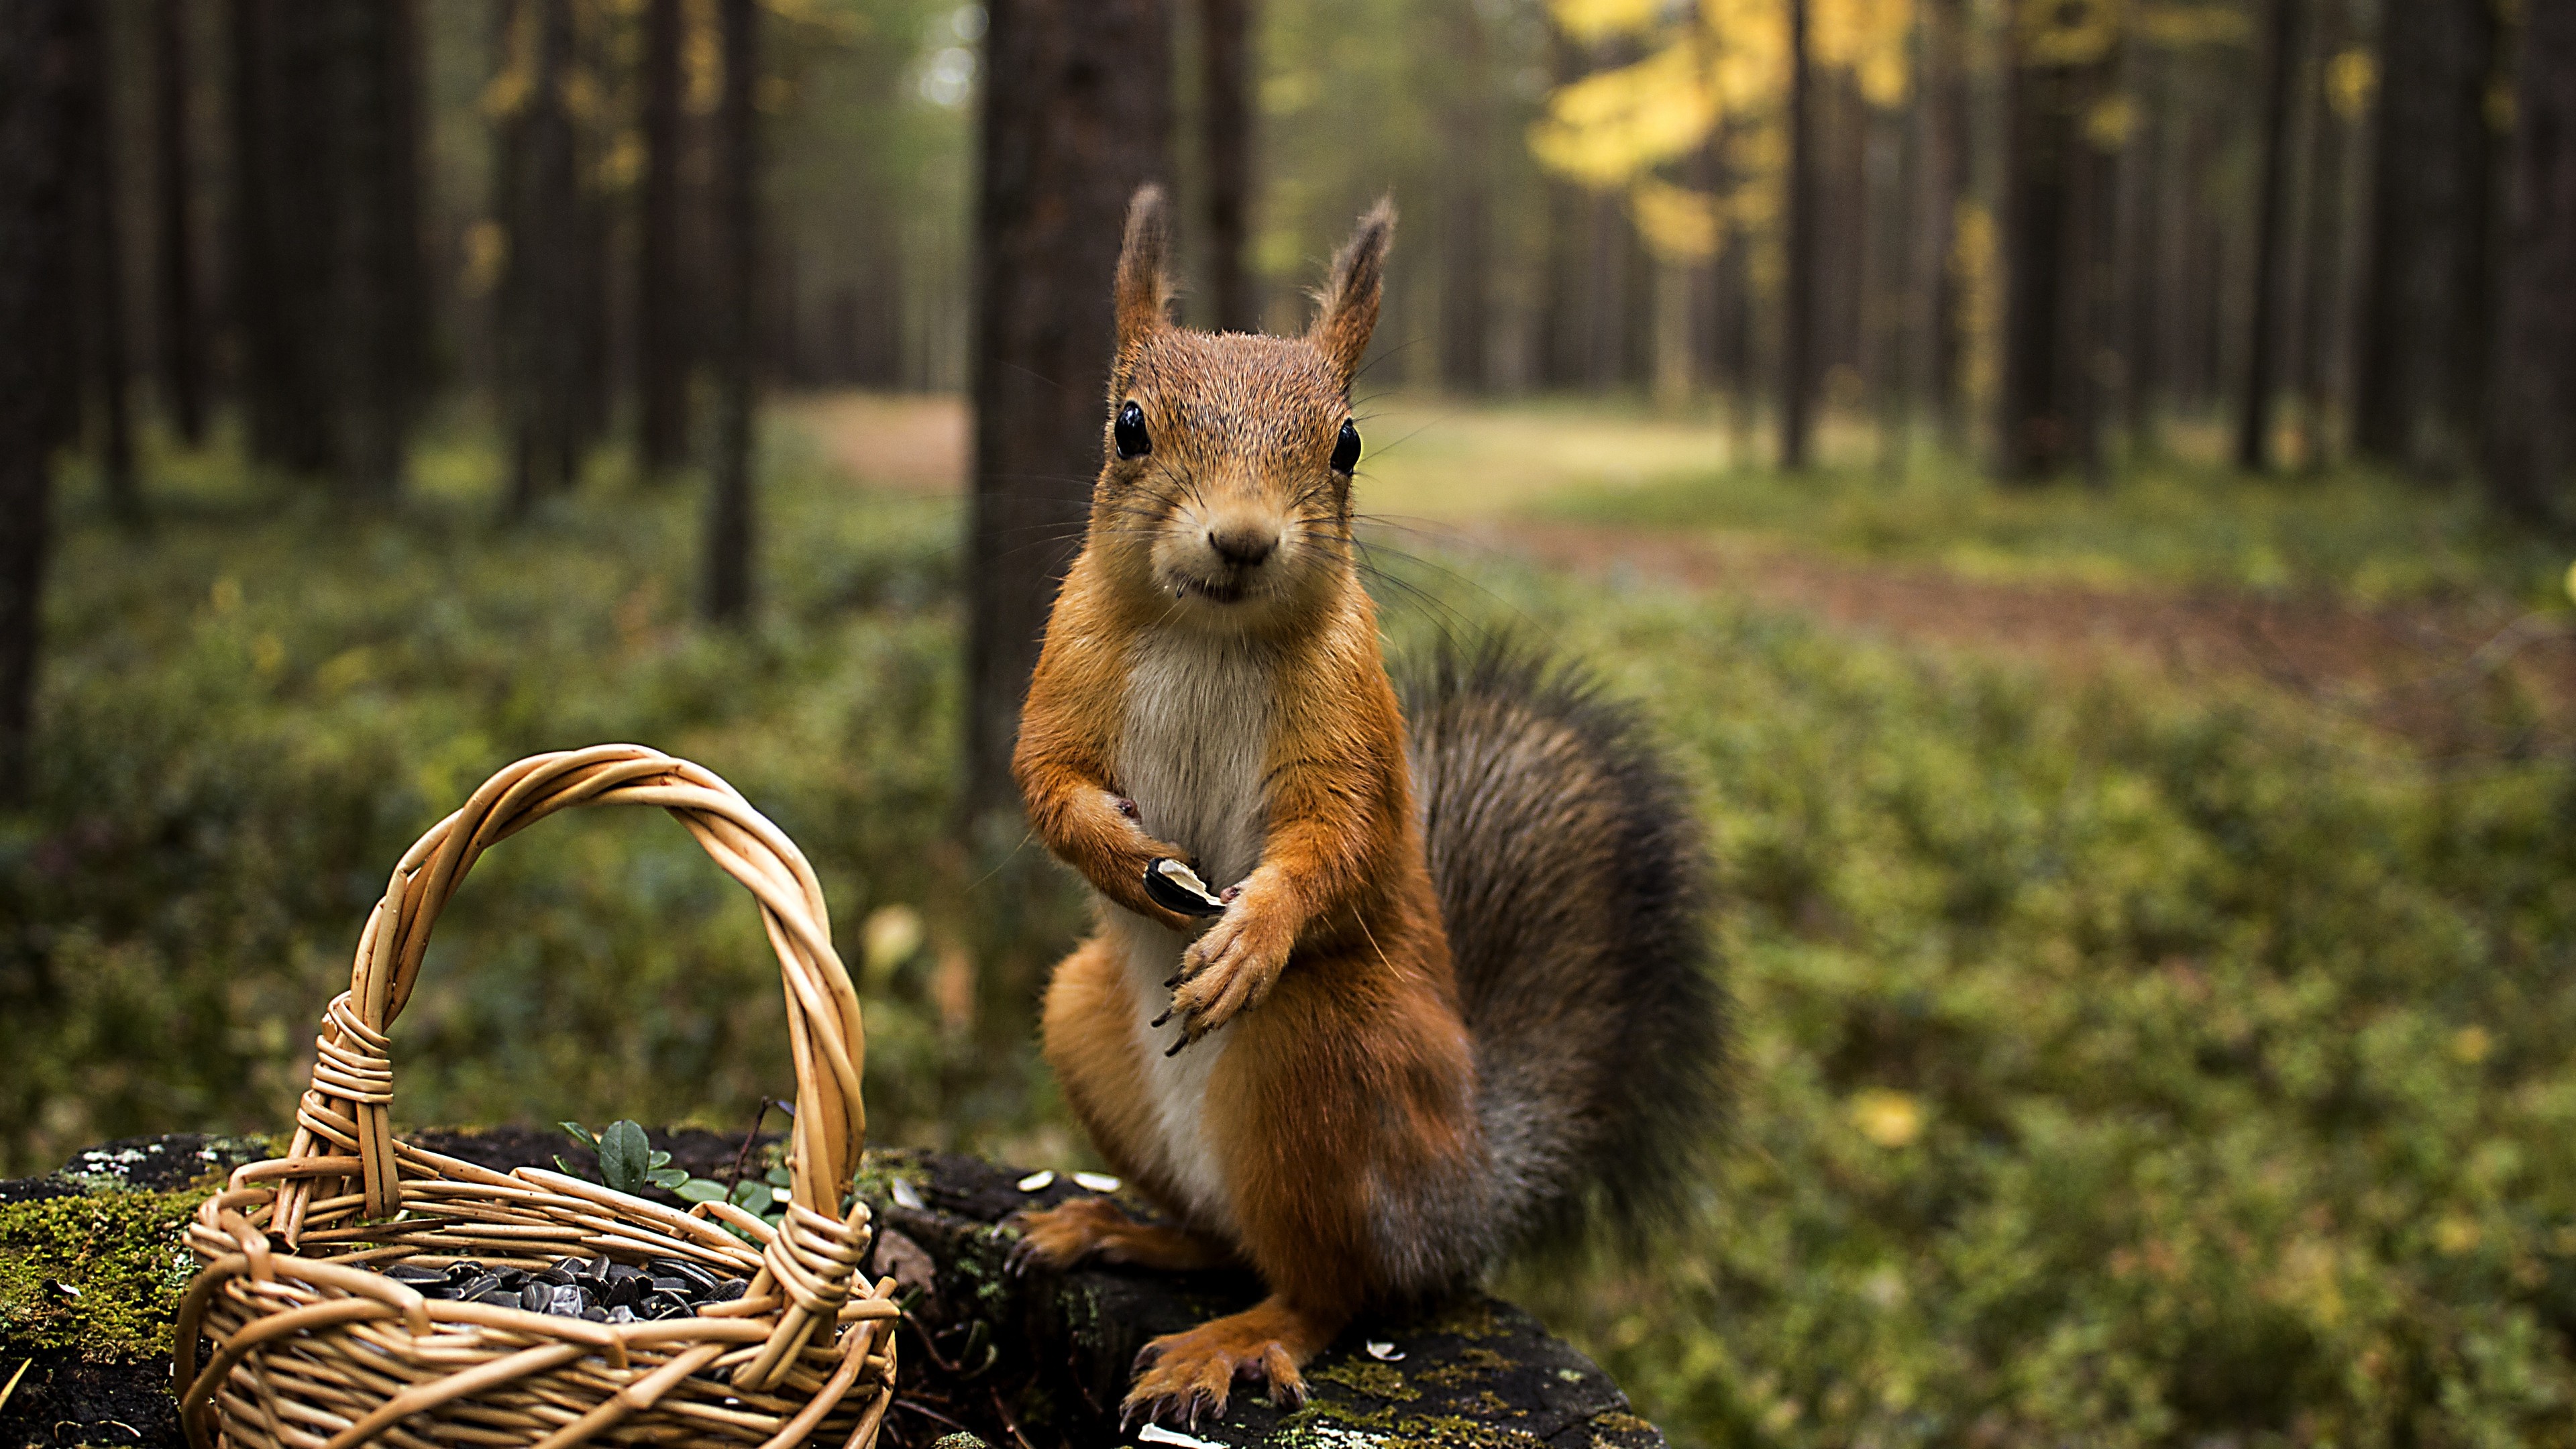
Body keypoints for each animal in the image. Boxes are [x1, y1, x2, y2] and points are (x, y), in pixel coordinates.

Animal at [1006, 185, 1725, 1429]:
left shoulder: (1351, 726)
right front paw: (1122, 857)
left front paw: (1252, 934)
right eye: (1128, 426)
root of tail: (1465, 1199)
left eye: (1344, 444)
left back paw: (1234, 1339)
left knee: (1330, 1289)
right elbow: (1046, 783)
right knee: (1228, 1240)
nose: (1243, 540)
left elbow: (1336, 842)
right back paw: (1116, 1228)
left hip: (1325, 1058)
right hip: (1083, 1020)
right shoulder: (1066, 669)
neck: (1208, 632)